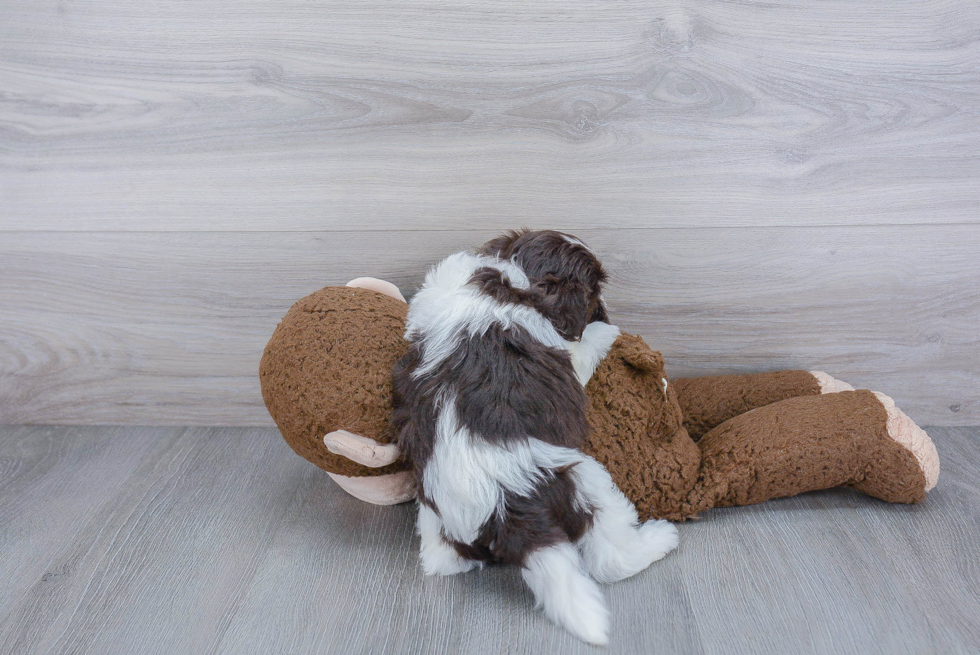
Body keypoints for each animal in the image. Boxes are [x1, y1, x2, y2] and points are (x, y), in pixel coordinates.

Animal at [388, 231, 672, 644]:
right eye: (593, 293)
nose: (606, 311)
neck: (513, 275)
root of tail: (504, 511)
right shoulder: (567, 357)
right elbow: (584, 347)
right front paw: (606, 332)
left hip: (435, 516)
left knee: (442, 560)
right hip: (581, 479)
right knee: (611, 557)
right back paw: (660, 539)